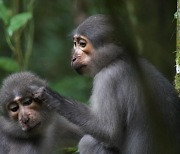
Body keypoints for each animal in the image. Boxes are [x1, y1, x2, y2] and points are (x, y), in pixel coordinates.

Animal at [33, 14, 180, 153]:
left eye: (82, 44)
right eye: (75, 43)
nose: (73, 57)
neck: (118, 57)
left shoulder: (107, 78)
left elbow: (109, 132)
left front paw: (56, 100)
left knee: (87, 142)